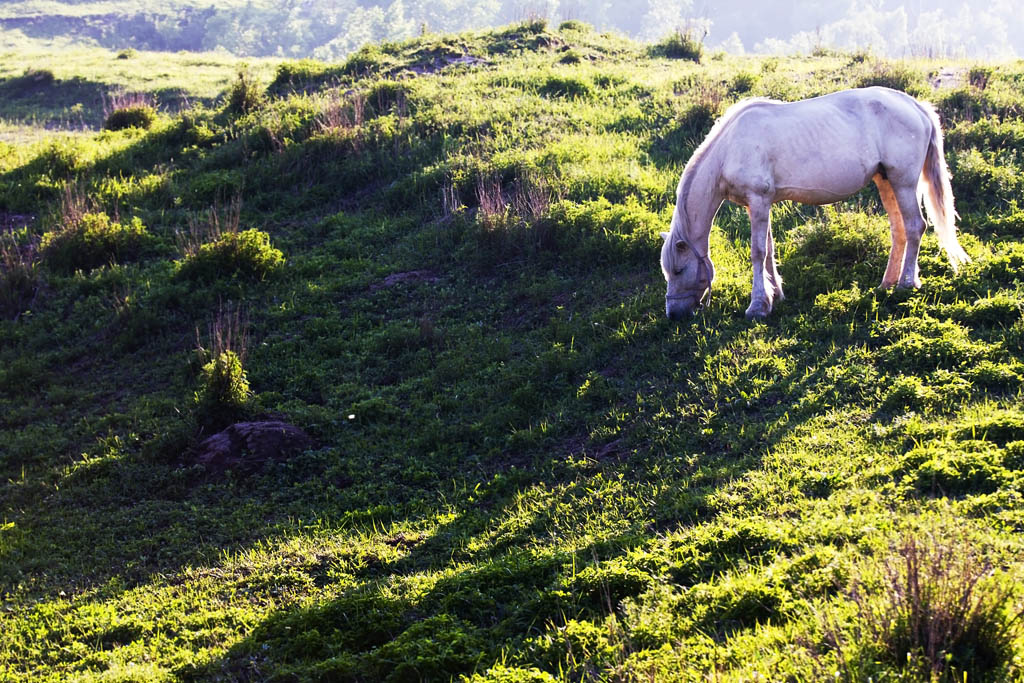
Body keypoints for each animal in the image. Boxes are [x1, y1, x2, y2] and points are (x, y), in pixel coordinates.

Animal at [663, 86, 966, 321]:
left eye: (679, 269)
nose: (674, 314)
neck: (730, 148)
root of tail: (916, 106)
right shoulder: (759, 204)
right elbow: (769, 250)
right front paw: (775, 294)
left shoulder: (758, 200)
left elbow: (758, 252)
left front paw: (758, 306)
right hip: (886, 181)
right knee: (899, 230)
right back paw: (887, 283)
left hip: (903, 182)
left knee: (915, 226)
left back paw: (906, 283)